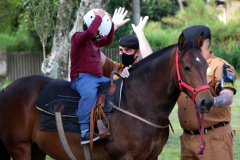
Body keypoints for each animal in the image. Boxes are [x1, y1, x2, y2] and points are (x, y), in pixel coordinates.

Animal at [0, 33, 214, 159]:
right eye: (186, 67)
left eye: (206, 64)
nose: (207, 102)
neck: (138, 103)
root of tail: (6, 91)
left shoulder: (152, 157)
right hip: (20, 148)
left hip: (36, 149)